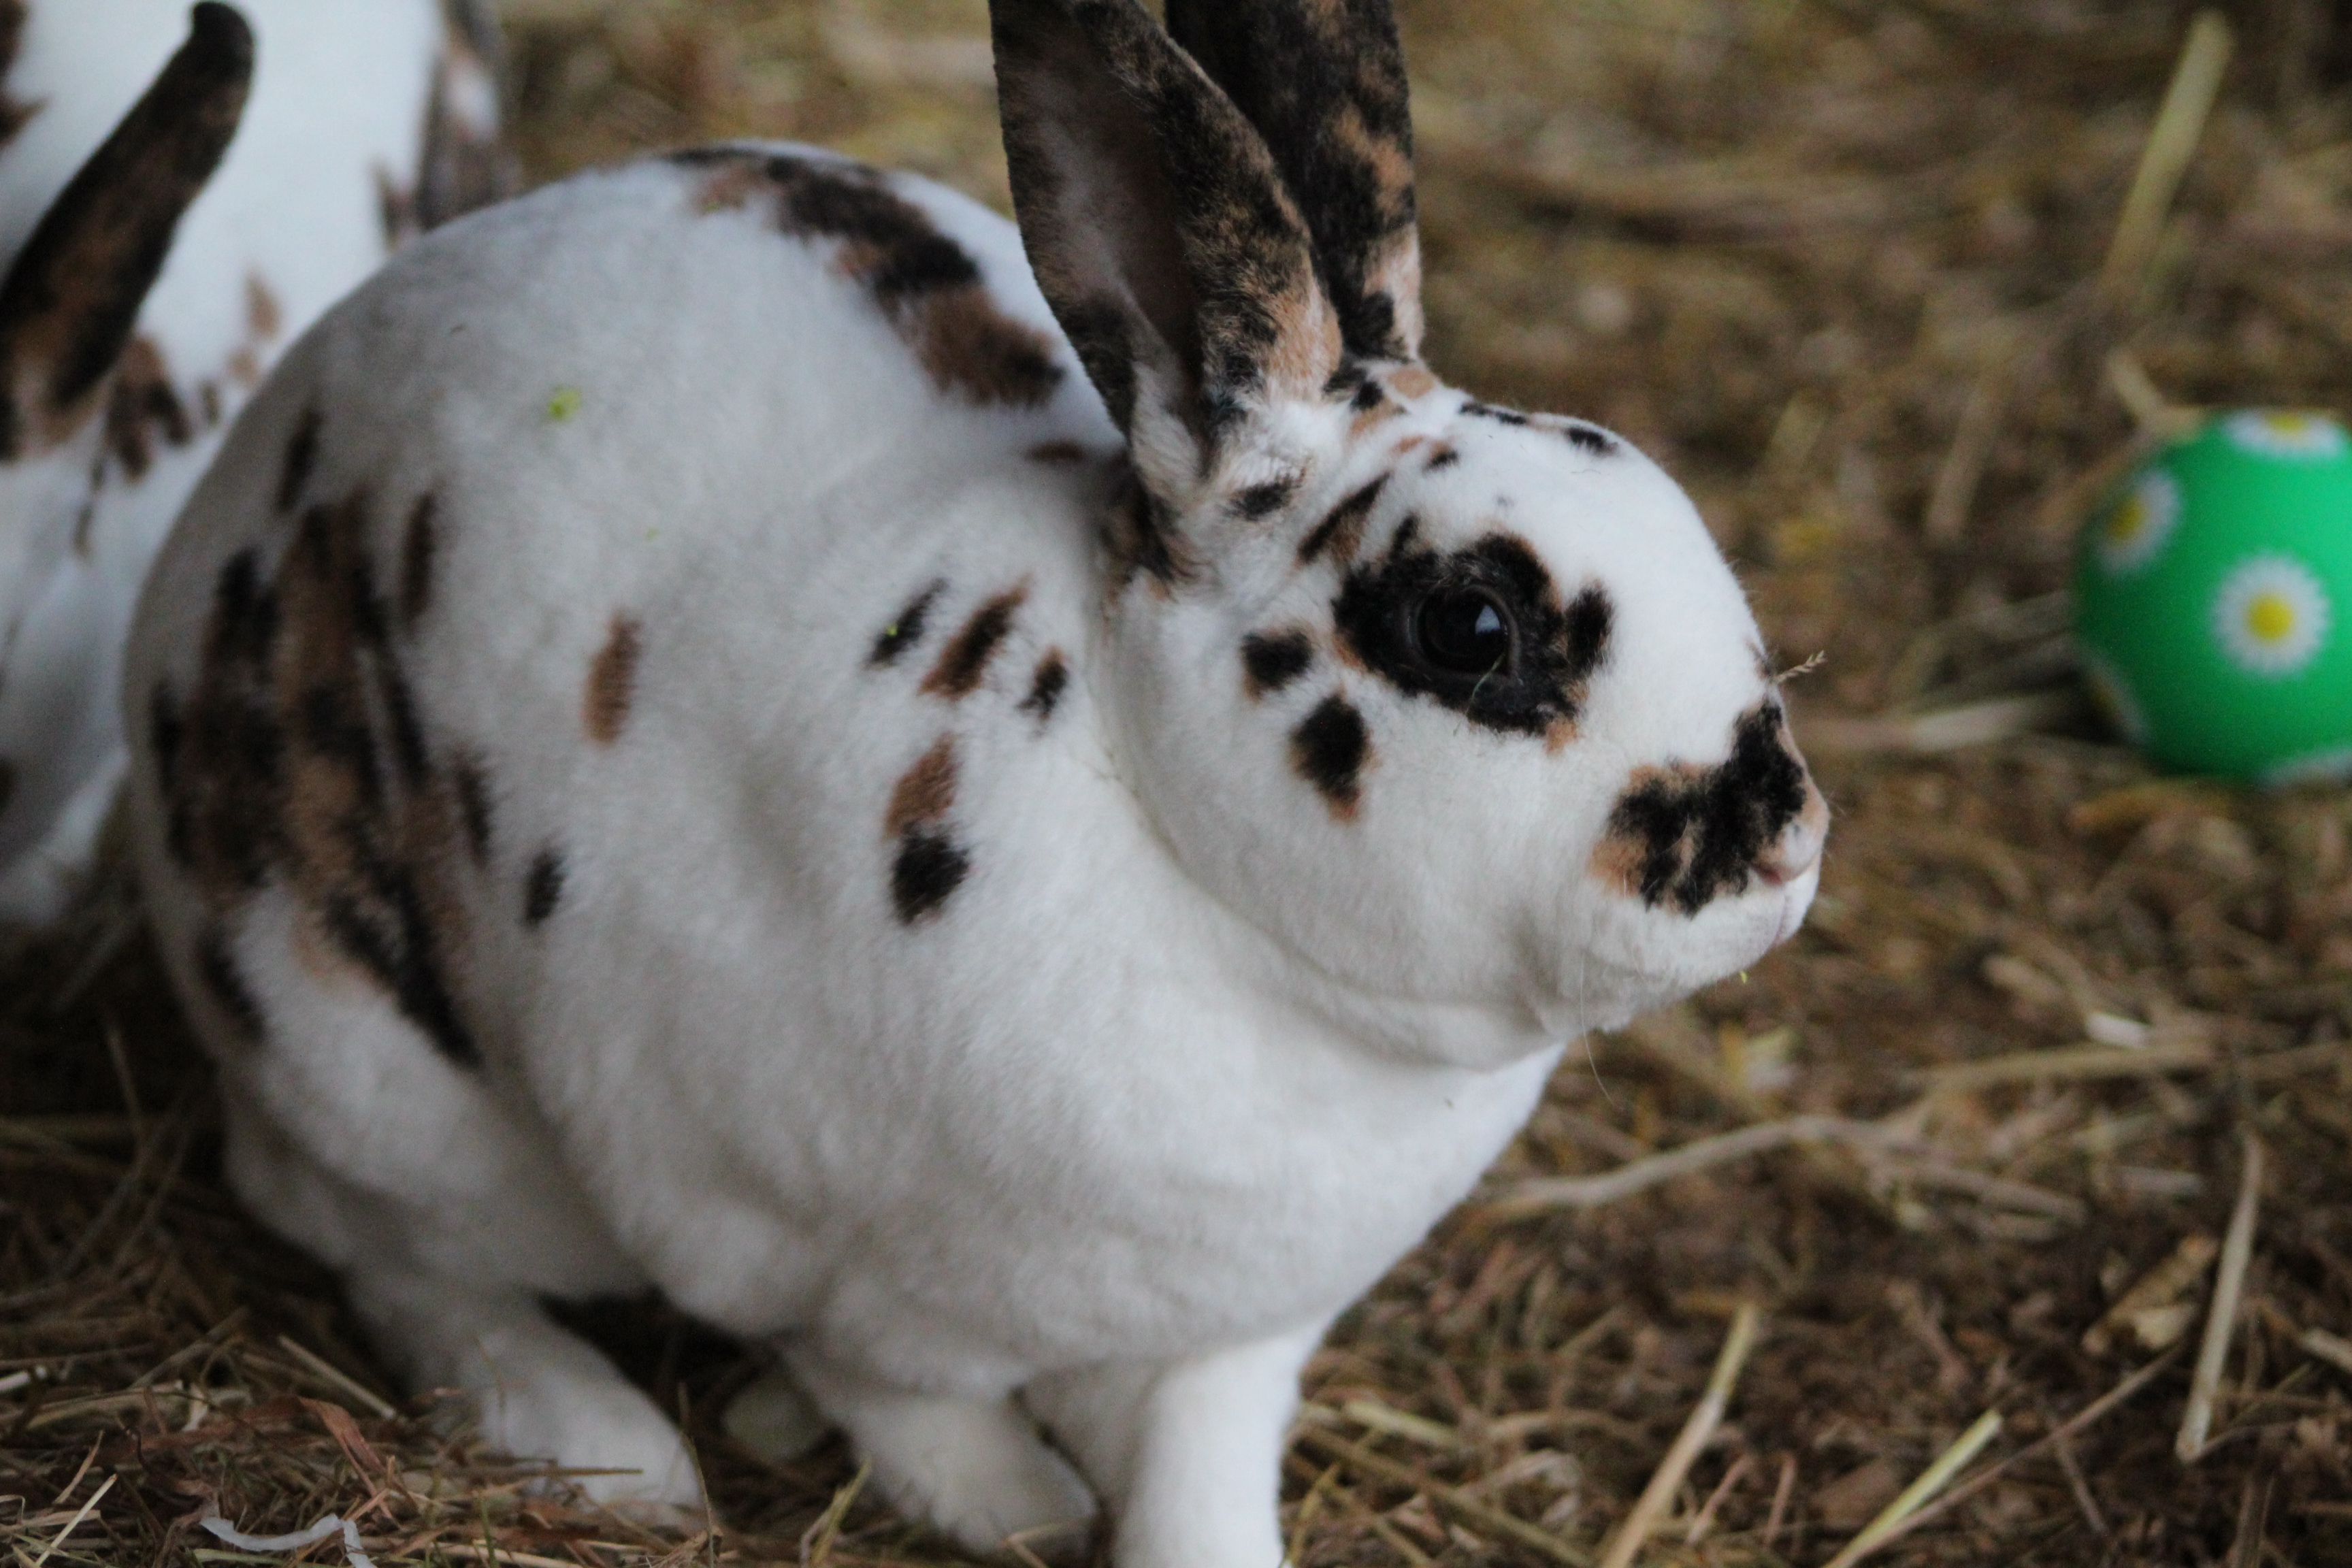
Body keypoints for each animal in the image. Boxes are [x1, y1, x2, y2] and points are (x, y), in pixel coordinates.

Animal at [119, 0, 1825, 1561]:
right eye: (1469, 628)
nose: (1781, 835)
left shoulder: (1226, 1340)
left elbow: (1198, 1477)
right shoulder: (754, 1221)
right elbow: (887, 1394)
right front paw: (1021, 1508)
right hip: (372, 1070)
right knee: (369, 1235)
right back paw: (604, 1444)